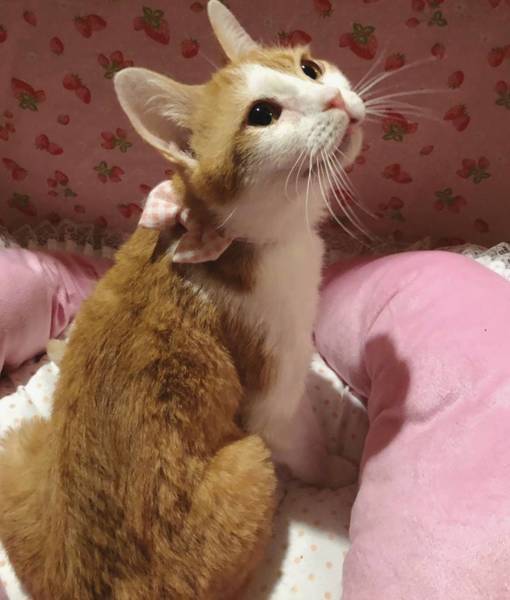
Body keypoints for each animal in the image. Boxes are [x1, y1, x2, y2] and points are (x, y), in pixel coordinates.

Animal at [0, 1, 365, 598]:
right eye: (262, 114)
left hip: (23, 443)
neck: (223, 237)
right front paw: (338, 472)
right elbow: (303, 440)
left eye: (310, 68)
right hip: (251, 460)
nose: (336, 98)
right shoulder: (273, 396)